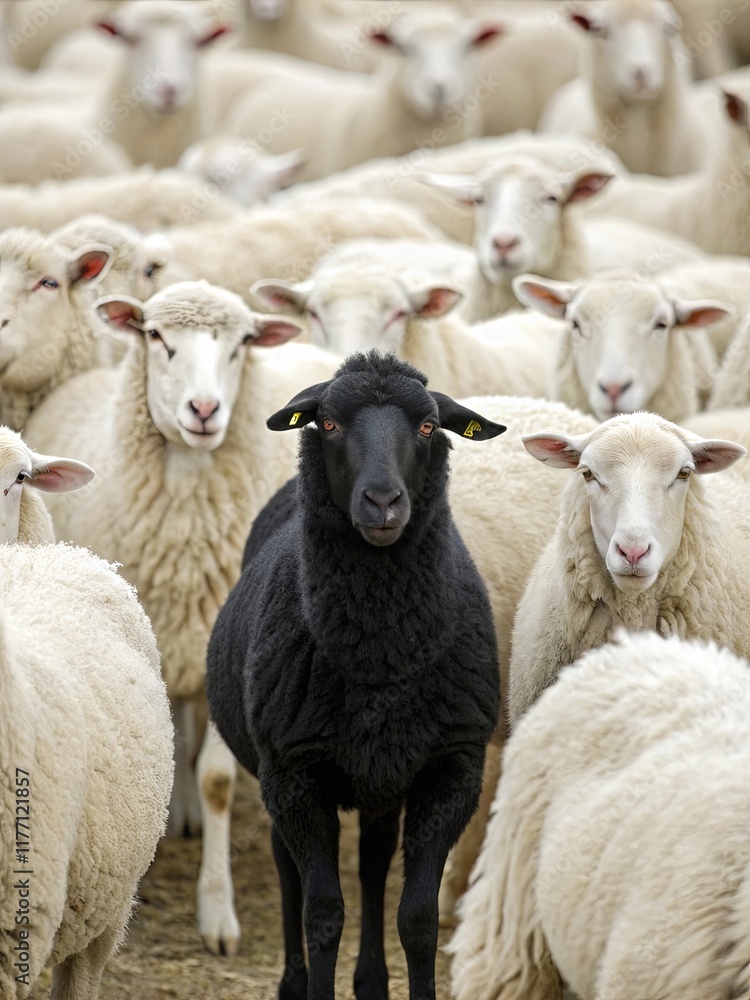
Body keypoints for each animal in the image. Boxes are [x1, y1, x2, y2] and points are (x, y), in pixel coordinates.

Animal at [23, 280, 339, 956]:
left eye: (243, 343)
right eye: (155, 337)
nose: (204, 409)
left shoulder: (229, 651)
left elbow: (218, 779)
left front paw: (217, 908)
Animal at [205, 351, 504, 999]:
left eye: (428, 427)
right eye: (329, 423)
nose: (383, 501)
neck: (380, 652)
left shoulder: (451, 770)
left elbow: (417, 918)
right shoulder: (296, 774)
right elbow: (322, 914)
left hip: (382, 775)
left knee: (372, 861)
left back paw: (371, 979)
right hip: (278, 772)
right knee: (286, 866)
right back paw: (293, 983)